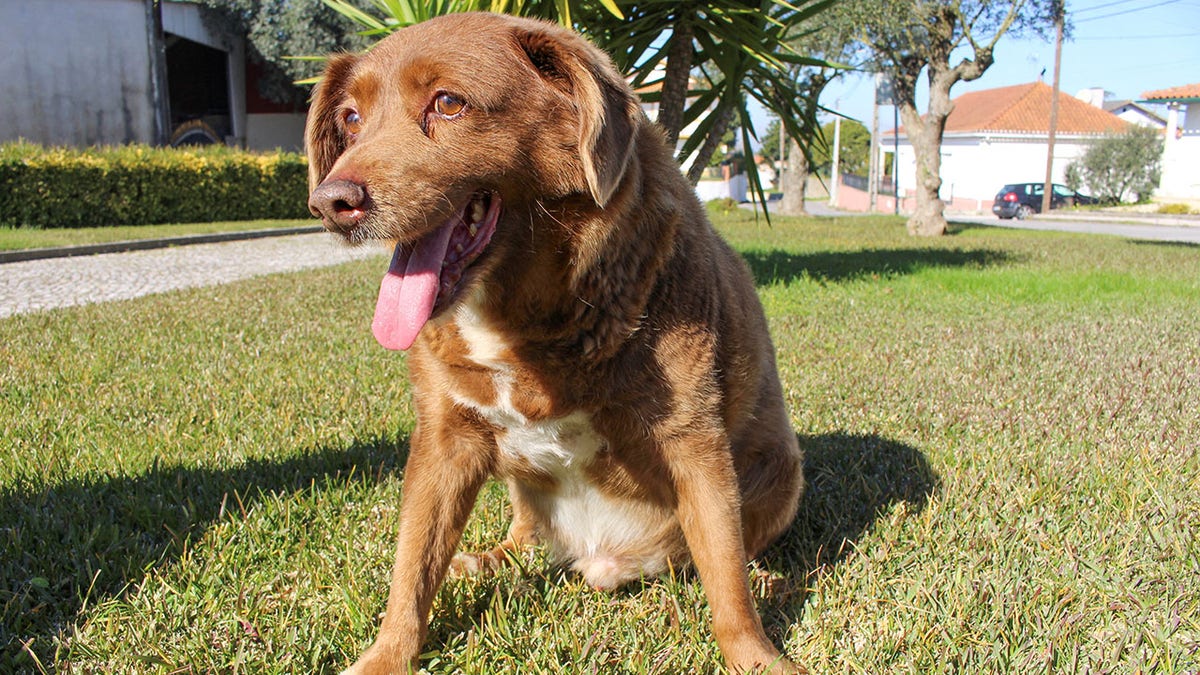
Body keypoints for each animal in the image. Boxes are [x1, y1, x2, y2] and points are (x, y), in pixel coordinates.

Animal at [304, 13, 801, 667]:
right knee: (522, 536)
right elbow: (410, 569)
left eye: (448, 103)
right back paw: (486, 560)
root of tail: (601, 560)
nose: (331, 203)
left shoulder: (694, 441)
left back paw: (766, 576)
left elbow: (727, 582)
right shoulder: (444, 440)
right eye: (352, 119)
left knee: (730, 553)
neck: (521, 319)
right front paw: (387, 658)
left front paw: (757, 658)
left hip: (782, 473)